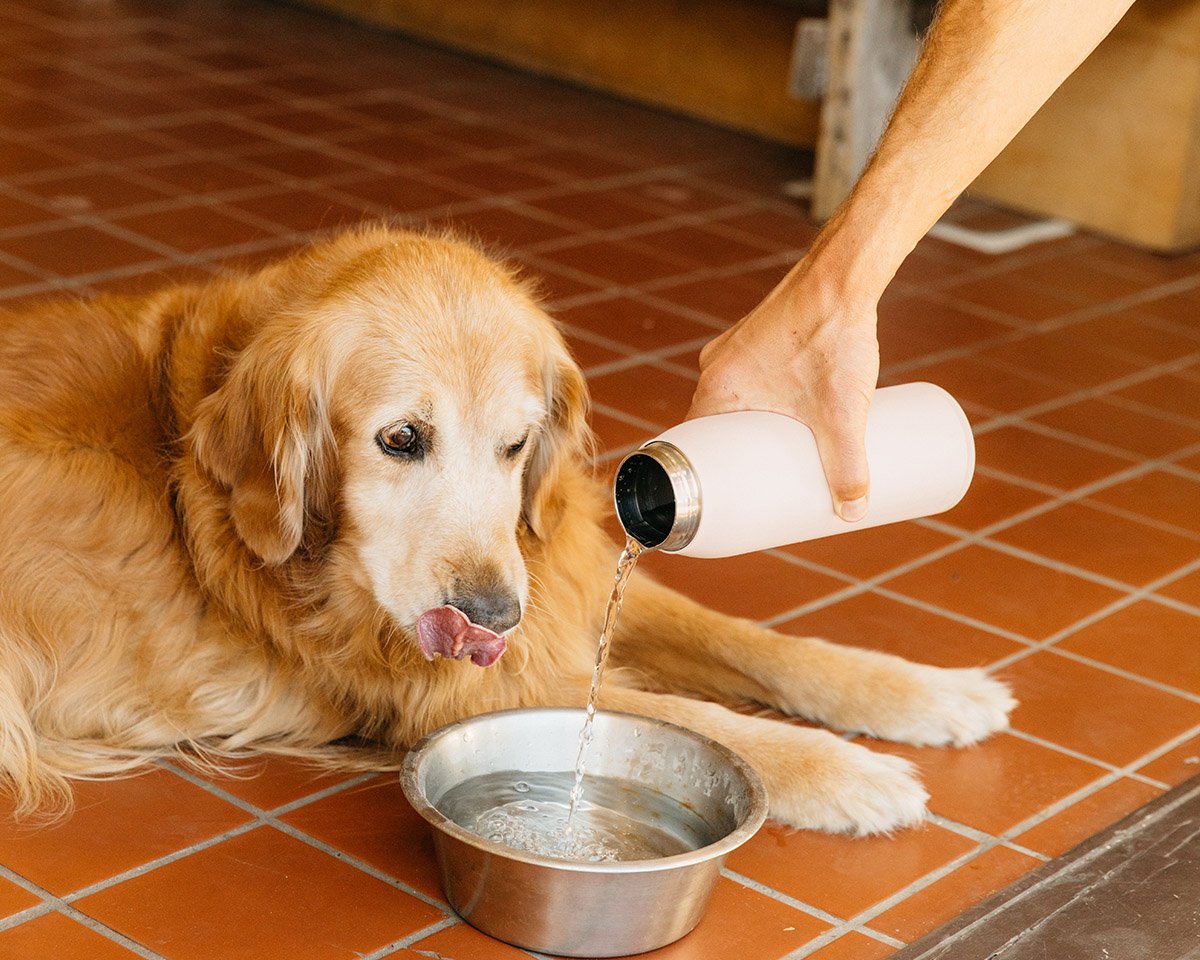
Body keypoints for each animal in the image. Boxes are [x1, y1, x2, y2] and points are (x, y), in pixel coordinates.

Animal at [0, 225, 1012, 830]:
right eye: (400, 439)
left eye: (516, 442)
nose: (492, 615)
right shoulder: (455, 688)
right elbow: (693, 712)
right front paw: (843, 772)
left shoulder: (567, 579)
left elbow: (755, 641)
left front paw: (925, 692)